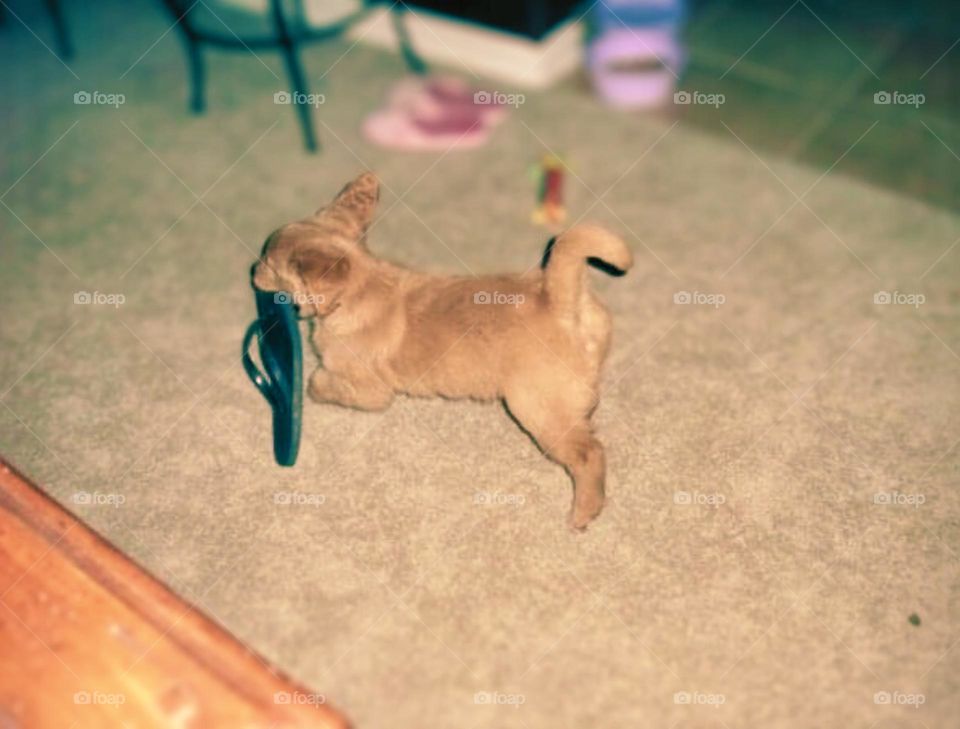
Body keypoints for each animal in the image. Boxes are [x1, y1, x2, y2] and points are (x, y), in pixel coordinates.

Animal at [251, 175, 632, 528]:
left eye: (268, 263)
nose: (252, 270)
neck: (358, 288)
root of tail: (558, 299)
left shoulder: (369, 392)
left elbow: (321, 382)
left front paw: (313, 385)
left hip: (540, 412)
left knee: (590, 455)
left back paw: (583, 512)